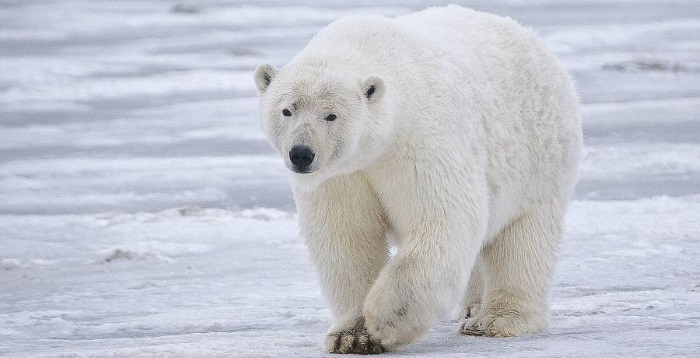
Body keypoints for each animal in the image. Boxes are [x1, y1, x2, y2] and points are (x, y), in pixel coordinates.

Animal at [254, 4, 584, 354]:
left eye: (331, 115)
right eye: (287, 110)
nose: (301, 154)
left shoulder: (418, 140)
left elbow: (442, 219)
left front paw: (385, 321)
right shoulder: (341, 176)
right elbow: (347, 237)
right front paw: (351, 336)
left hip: (538, 156)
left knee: (523, 239)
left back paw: (495, 320)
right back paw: (470, 307)